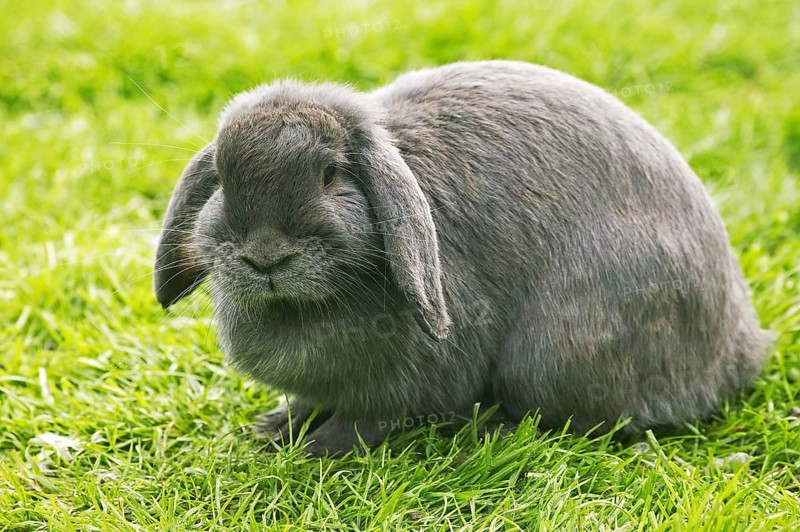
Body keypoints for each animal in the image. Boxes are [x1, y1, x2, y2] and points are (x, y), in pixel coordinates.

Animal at [154, 60, 772, 456]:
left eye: (330, 173)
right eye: (223, 179)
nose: (265, 257)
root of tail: (738, 349)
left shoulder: (408, 379)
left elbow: (365, 418)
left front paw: (318, 450)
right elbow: (311, 400)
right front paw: (276, 427)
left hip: (554, 351)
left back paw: (493, 431)